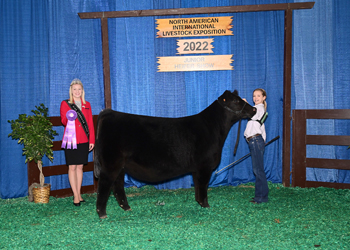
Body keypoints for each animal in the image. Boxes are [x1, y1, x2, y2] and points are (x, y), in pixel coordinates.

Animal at [94, 90, 256, 219]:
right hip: (110, 164)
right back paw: (102, 214)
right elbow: (203, 186)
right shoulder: (205, 166)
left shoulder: (197, 169)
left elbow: (198, 186)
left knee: (118, 186)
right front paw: (206, 206)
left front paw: (199, 203)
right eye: (236, 101)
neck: (213, 128)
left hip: (120, 166)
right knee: (104, 186)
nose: (254, 109)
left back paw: (126, 208)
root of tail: (109, 112)